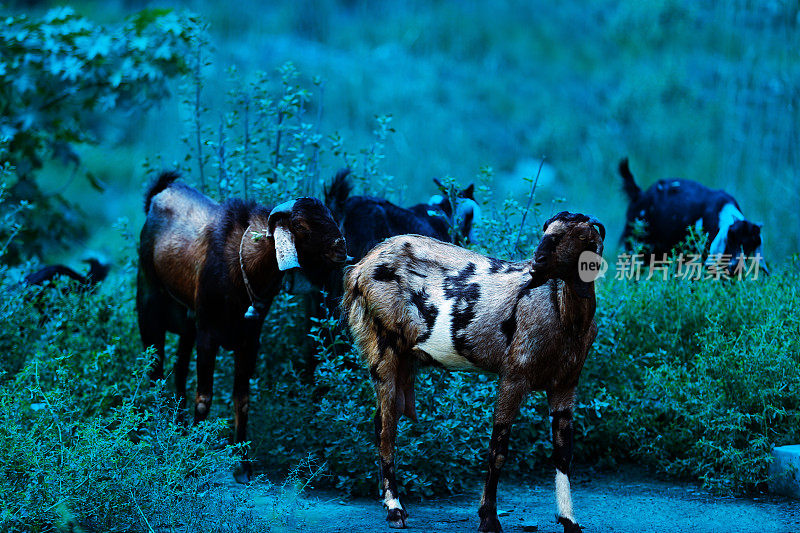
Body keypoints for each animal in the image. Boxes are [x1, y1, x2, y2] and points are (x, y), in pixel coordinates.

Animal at [135, 171, 346, 482]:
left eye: (330, 214)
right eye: (300, 224)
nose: (341, 248)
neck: (241, 263)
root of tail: (161, 191)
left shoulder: (249, 339)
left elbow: (242, 400)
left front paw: (244, 465)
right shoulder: (208, 335)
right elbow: (204, 397)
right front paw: (195, 456)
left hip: (187, 325)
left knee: (179, 373)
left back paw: (178, 429)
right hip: (149, 307)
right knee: (155, 373)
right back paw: (150, 433)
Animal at [340, 211, 604, 532]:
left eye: (577, 236)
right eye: (546, 232)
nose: (536, 265)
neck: (562, 312)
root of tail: (359, 268)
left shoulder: (566, 384)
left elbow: (563, 454)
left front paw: (569, 521)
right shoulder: (514, 377)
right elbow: (498, 450)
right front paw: (489, 518)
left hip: (402, 359)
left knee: (384, 421)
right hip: (382, 348)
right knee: (385, 428)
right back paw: (395, 509)